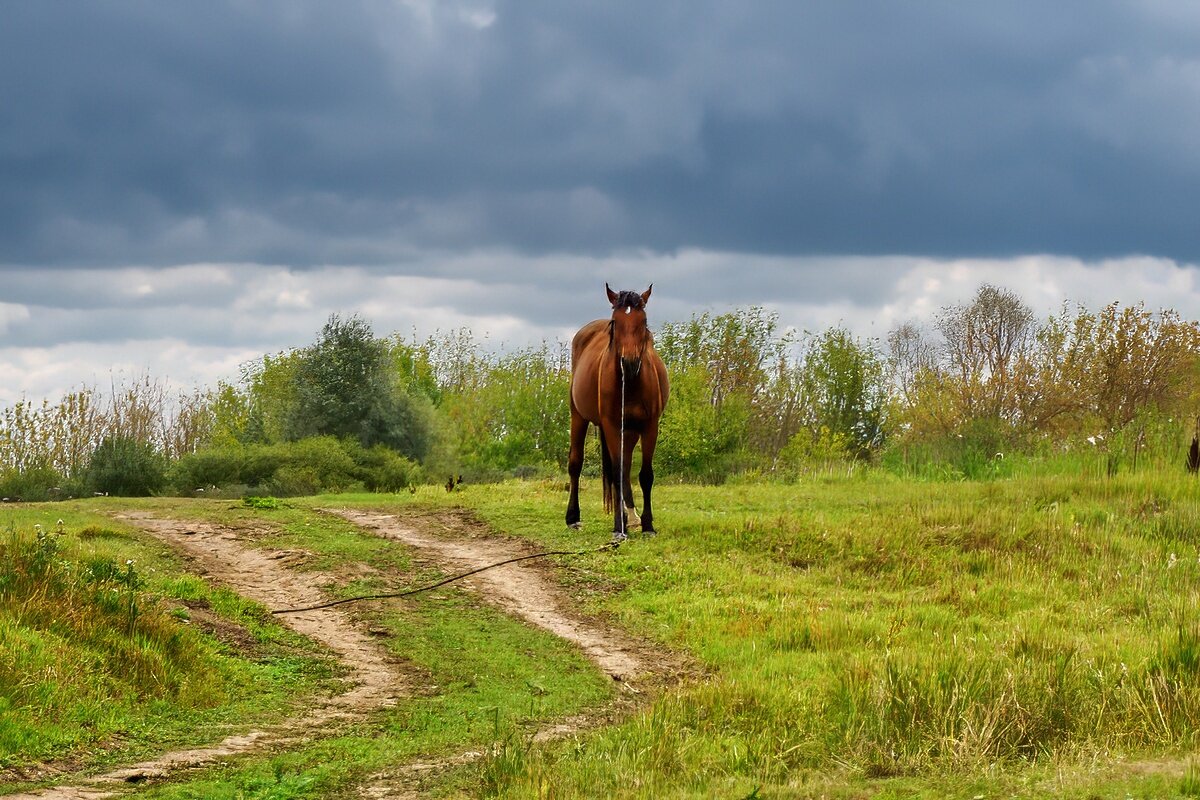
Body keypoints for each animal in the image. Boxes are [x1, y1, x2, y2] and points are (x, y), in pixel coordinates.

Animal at [561, 284, 667, 542]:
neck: (630, 383)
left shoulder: (650, 426)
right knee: (576, 463)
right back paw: (573, 518)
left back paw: (632, 516)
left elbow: (645, 475)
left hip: (629, 432)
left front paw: (647, 525)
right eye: (615, 322)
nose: (629, 362)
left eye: (643, 320)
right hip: (579, 417)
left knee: (627, 467)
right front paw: (619, 527)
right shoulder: (611, 425)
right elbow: (618, 474)